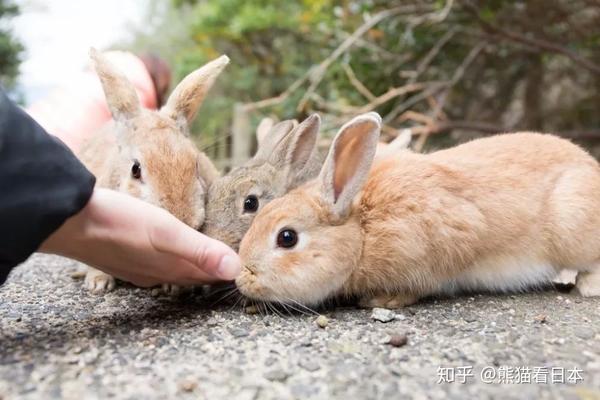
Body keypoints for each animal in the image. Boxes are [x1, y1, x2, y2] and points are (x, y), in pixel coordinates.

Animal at [237, 112, 600, 310]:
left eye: (287, 238)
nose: (242, 278)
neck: (363, 232)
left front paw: (382, 301)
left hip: (572, 230)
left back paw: (588, 287)